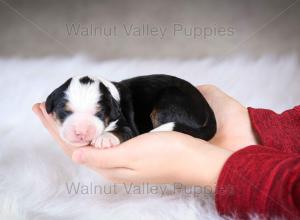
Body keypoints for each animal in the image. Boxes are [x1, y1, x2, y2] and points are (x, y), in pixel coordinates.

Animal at [45, 75, 216, 149]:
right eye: (65, 112)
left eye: (99, 114)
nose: (81, 132)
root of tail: (207, 108)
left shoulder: (128, 126)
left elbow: (122, 130)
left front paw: (104, 138)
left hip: (170, 99)